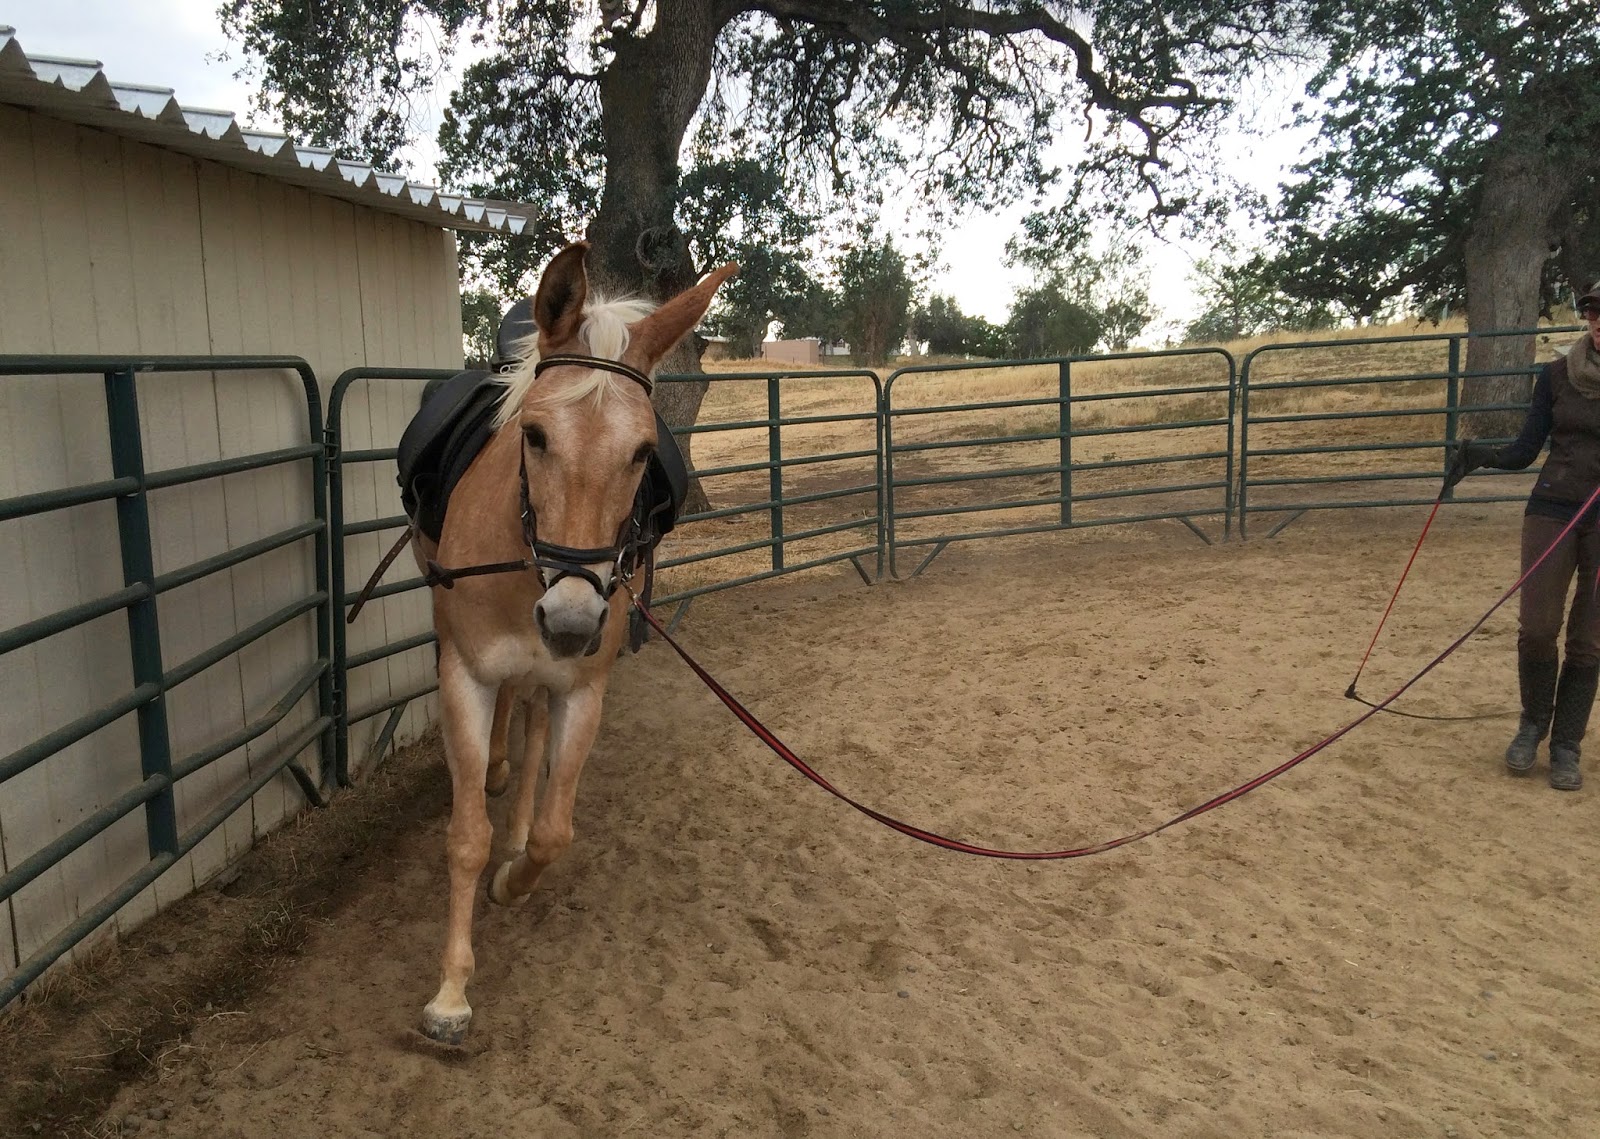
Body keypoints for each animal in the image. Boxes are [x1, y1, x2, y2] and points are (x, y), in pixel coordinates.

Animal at [408, 242, 736, 1044]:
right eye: (533, 435)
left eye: (644, 451)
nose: (572, 621)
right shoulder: (465, 677)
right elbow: (465, 835)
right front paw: (451, 994)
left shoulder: (584, 689)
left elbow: (555, 833)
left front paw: (513, 877)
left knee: (531, 731)